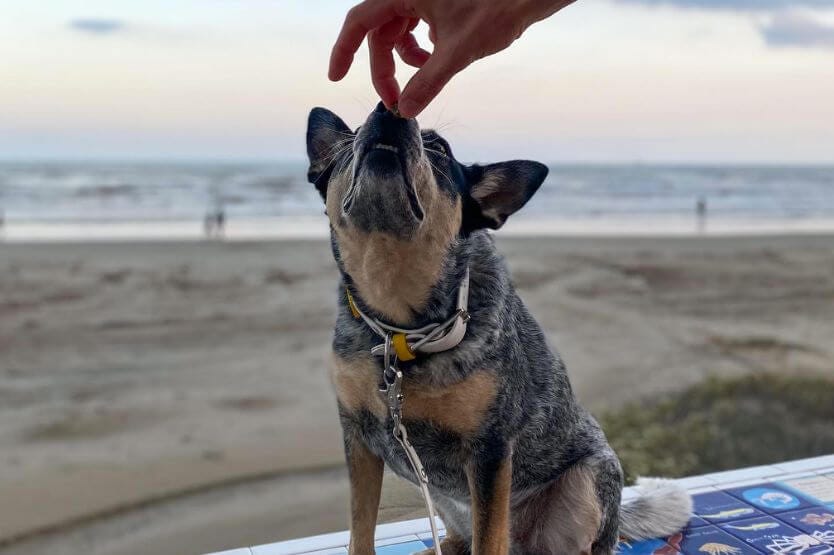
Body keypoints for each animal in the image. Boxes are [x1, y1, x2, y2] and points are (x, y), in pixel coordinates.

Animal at [306, 104, 688, 555]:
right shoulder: (359, 440)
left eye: (439, 147)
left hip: (589, 480)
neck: (400, 330)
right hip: (444, 500)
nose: (390, 108)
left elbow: (489, 539)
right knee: (461, 537)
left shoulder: (489, 452)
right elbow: (360, 530)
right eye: (351, 139)